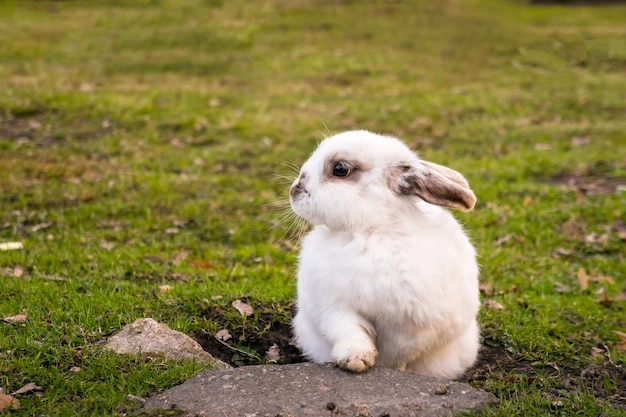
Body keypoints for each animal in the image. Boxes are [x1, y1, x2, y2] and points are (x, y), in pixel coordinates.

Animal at [288, 129, 478, 376]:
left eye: (339, 169)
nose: (294, 190)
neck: (370, 232)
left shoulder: (413, 328)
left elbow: (399, 356)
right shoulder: (336, 308)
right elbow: (349, 331)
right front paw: (354, 359)